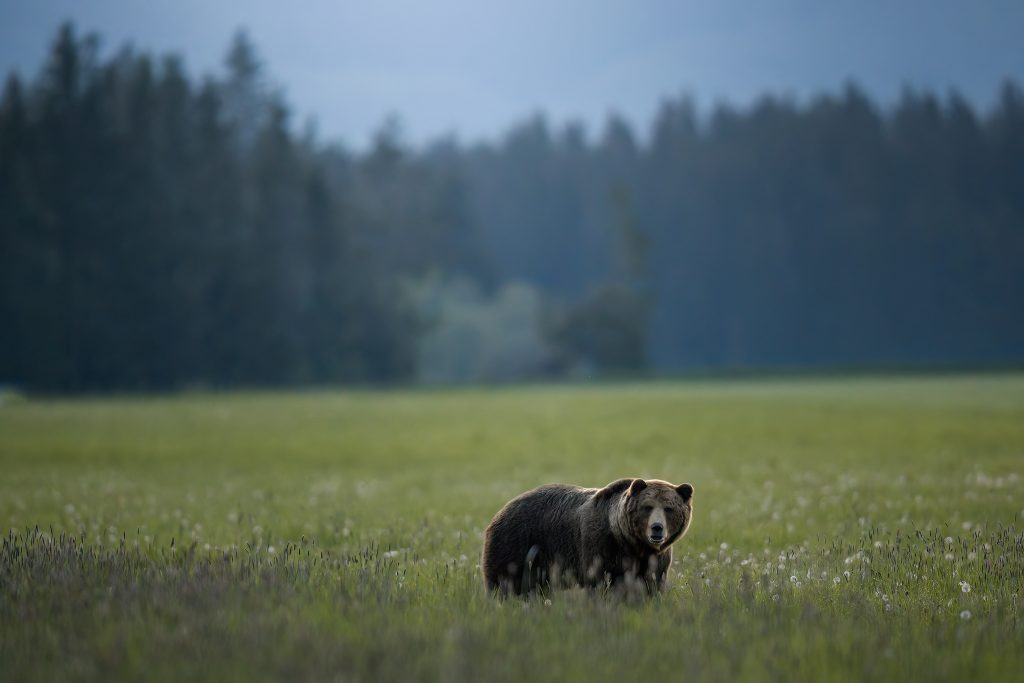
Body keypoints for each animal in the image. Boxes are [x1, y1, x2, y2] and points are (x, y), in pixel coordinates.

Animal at [482, 477, 694, 596]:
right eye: (647, 507)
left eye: (668, 508)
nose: (657, 528)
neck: (631, 543)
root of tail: (501, 509)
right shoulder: (601, 545)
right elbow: (601, 581)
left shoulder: (655, 558)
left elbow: (652, 583)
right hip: (517, 543)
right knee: (505, 581)